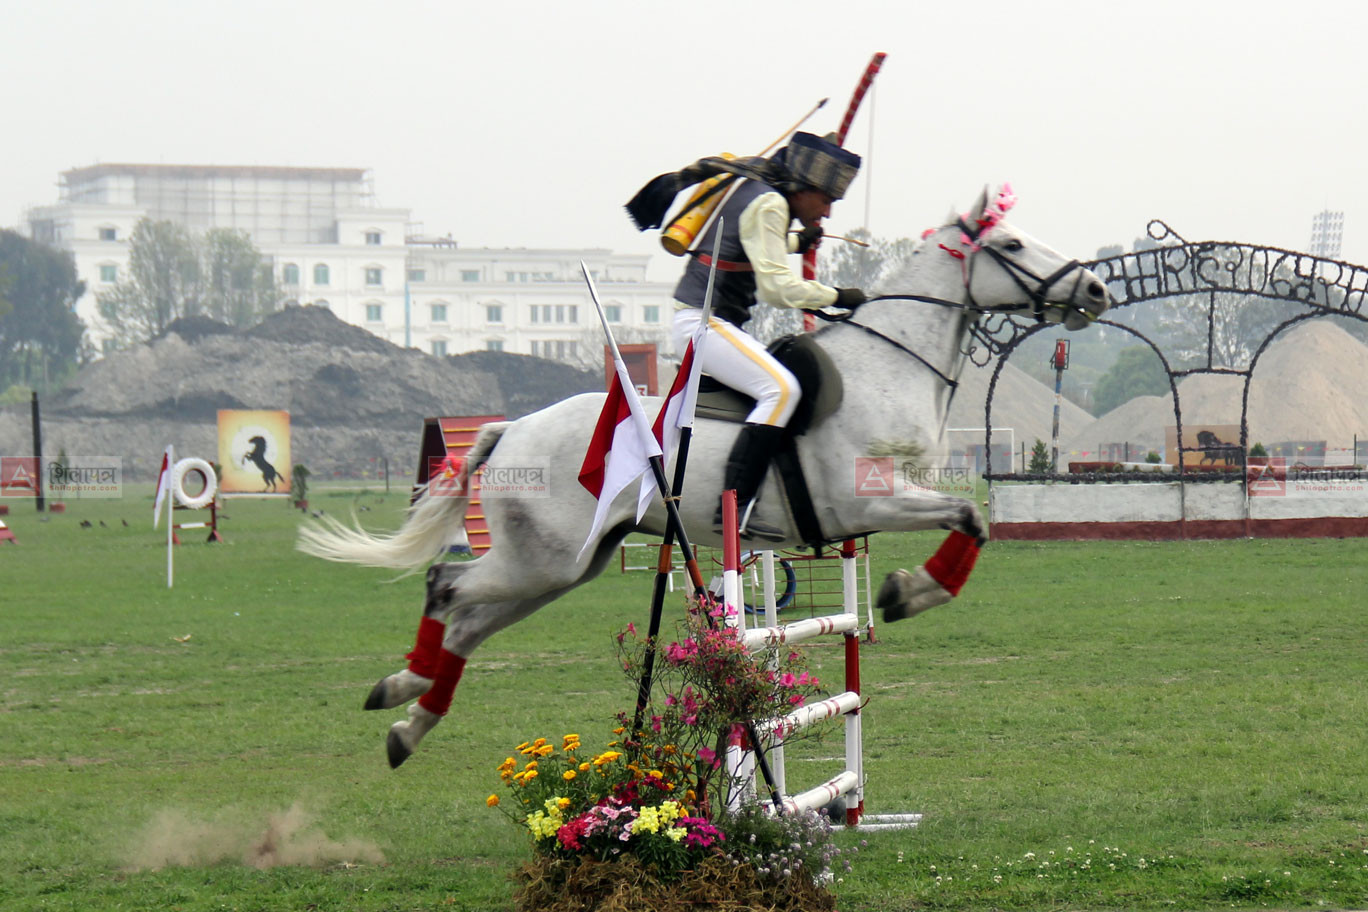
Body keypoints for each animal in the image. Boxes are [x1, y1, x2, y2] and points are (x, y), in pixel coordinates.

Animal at [302, 188, 1110, 765]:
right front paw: (909, 592)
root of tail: (512, 432)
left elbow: (974, 519)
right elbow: (969, 518)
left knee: (467, 619)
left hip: (560, 568)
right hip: (543, 560)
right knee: (447, 586)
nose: (1095, 291)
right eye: (1010, 243)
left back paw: (408, 712)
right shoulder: (864, 500)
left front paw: (907, 589)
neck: (890, 363)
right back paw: (407, 693)